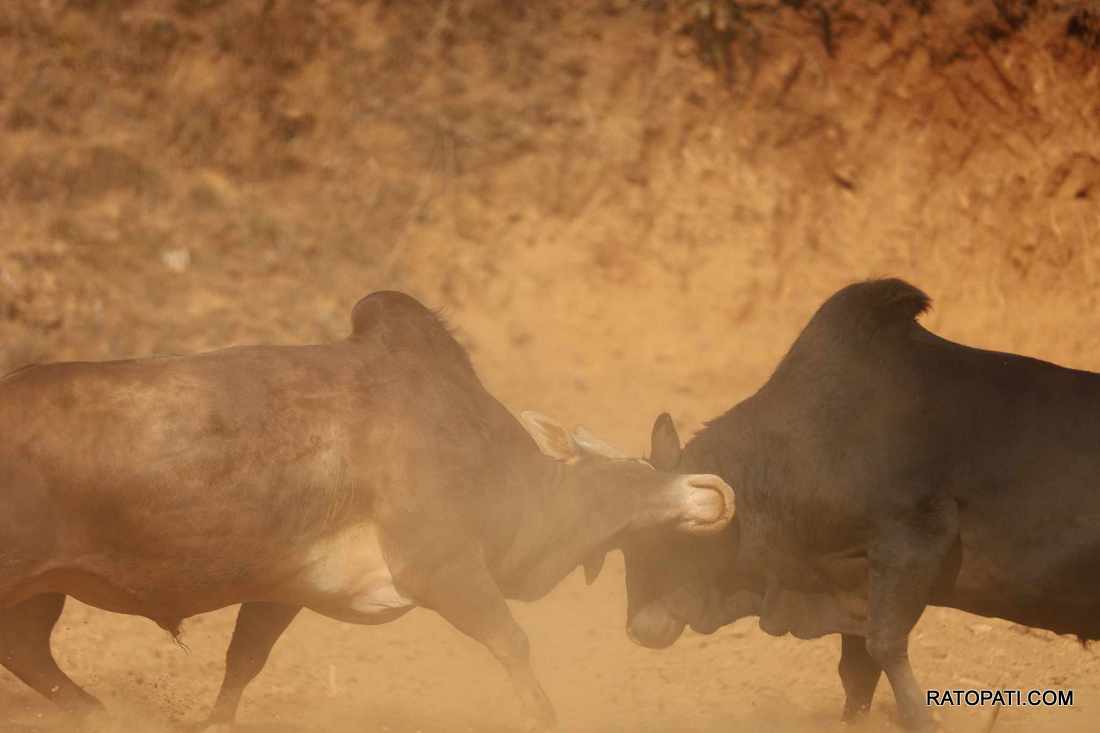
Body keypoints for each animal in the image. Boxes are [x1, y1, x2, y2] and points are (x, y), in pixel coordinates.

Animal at [624, 277, 1100, 726]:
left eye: (659, 539)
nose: (636, 629)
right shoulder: (851, 586)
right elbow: (857, 672)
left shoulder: (912, 542)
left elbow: (885, 647)